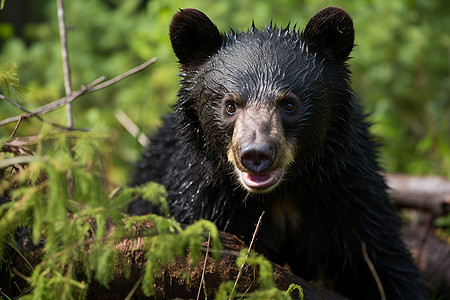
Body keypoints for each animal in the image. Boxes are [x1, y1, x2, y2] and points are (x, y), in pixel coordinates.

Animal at [129, 7, 426, 300]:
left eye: (289, 104)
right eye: (230, 106)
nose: (256, 154)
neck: (281, 193)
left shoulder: (347, 189)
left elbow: (383, 260)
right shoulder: (203, 193)